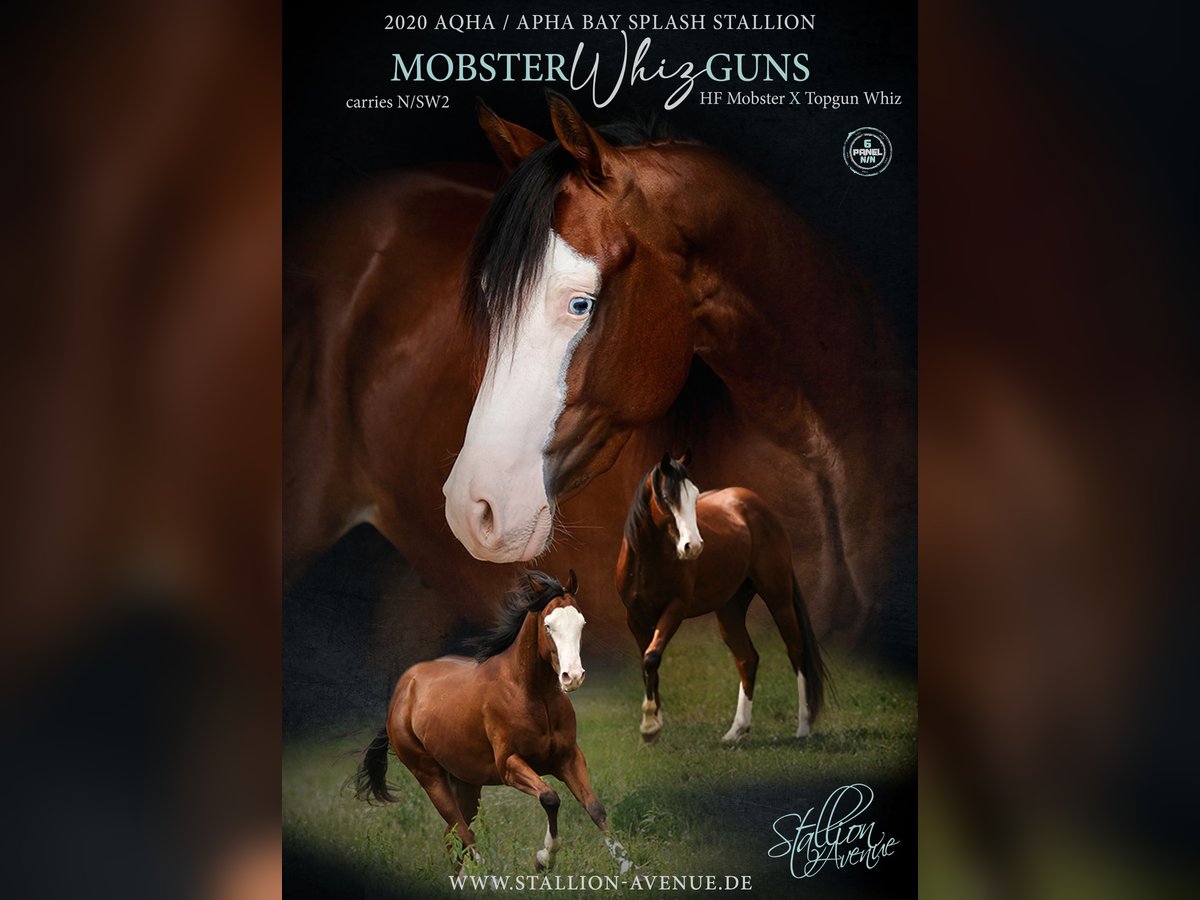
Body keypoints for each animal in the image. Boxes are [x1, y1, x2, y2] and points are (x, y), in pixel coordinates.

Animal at [353, 570, 631, 873]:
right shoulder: (509, 765)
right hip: (429, 776)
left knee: (453, 834)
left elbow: (595, 808)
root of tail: (402, 692)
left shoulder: (568, 758)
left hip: (466, 781)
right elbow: (550, 797)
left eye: (581, 623)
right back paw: (487, 874)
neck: (532, 695)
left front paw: (630, 868)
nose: (573, 676)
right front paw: (543, 859)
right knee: (464, 833)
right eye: (548, 625)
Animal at [616, 452, 828, 743]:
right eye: (667, 497)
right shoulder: (635, 618)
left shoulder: (674, 609)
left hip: (779, 597)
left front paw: (649, 726)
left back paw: (804, 726)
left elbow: (651, 658)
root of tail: (756, 504)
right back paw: (736, 731)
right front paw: (653, 725)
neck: (646, 562)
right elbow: (648, 663)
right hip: (730, 609)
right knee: (747, 659)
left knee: (795, 650)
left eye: (695, 496)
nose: (693, 547)